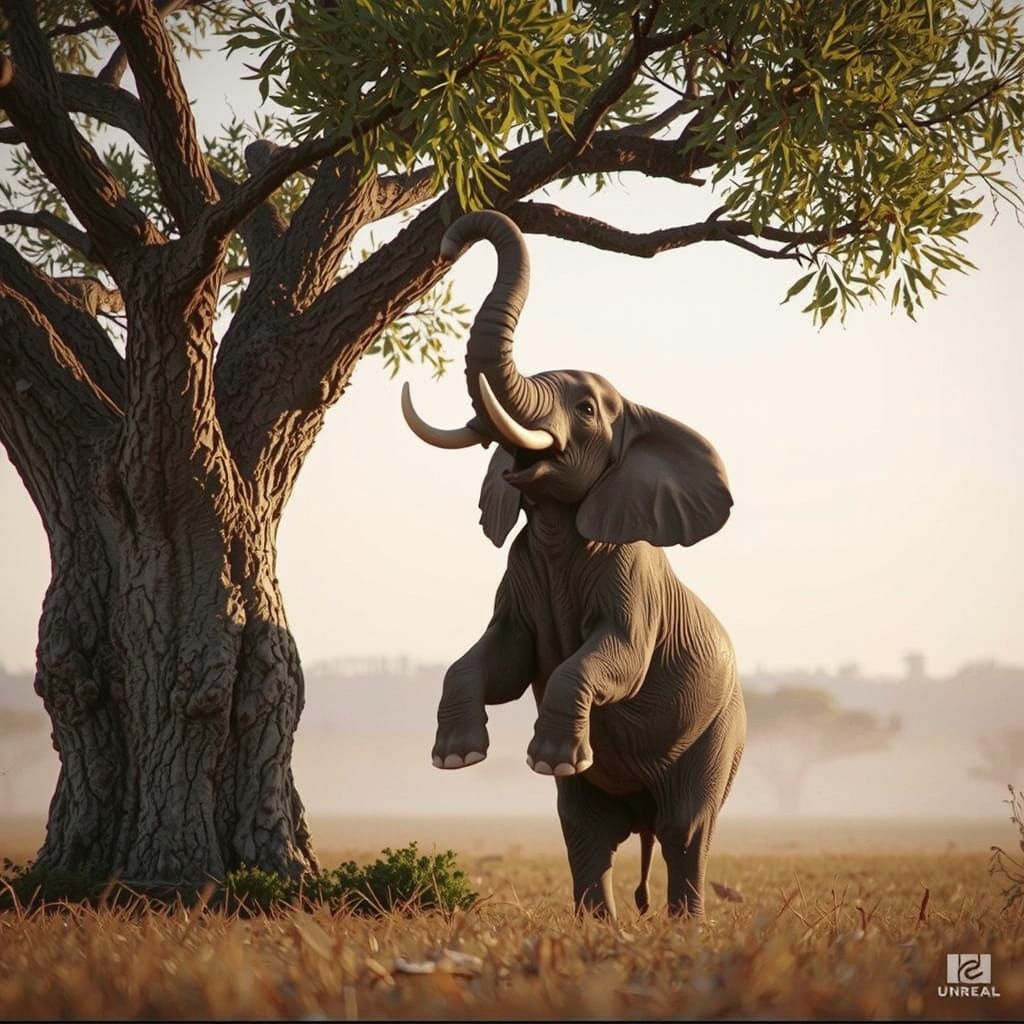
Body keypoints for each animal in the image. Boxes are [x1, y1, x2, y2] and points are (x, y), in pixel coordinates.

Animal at [401, 210, 745, 919]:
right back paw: (600, 927)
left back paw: (686, 926)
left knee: (686, 830)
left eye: (586, 410)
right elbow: (500, 659)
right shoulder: (518, 574)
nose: (447, 241)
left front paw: (547, 758)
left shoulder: (630, 577)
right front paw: (457, 759)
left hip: (718, 736)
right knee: (584, 828)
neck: (558, 525)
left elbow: (615, 656)